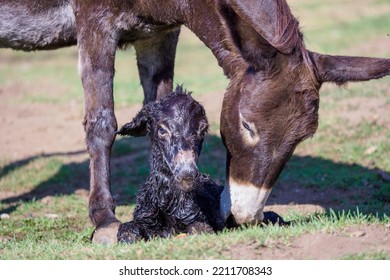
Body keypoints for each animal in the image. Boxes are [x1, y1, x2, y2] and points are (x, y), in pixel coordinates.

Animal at [117, 87, 224, 243]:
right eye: (162, 130)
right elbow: (127, 231)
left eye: (203, 129)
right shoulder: (144, 217)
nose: (187, 174)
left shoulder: (195, 217)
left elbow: (200, 230)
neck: (167, 200)